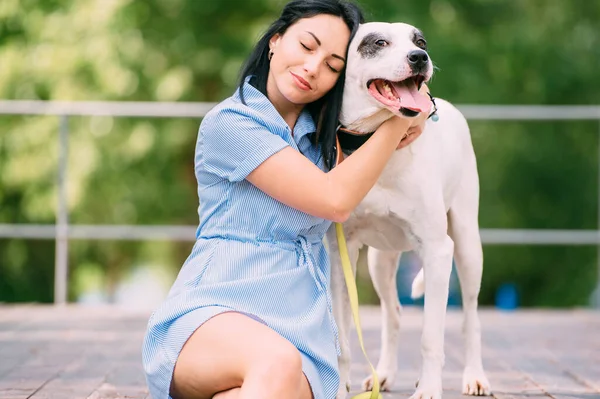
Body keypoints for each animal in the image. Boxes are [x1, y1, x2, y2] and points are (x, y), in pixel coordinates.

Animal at [328, 22, 492, 399]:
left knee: (470, 318)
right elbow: (344, 339)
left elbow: (431, 337)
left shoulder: (437, 250)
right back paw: (385, 374)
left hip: (466, 246)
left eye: (421, 42)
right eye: (378, 42)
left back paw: (474, 376)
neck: (377, 145)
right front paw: (340, 387)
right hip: (379, 261)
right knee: (394, 314)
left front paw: (430, 387)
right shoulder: (342, 254)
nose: (420, 58)